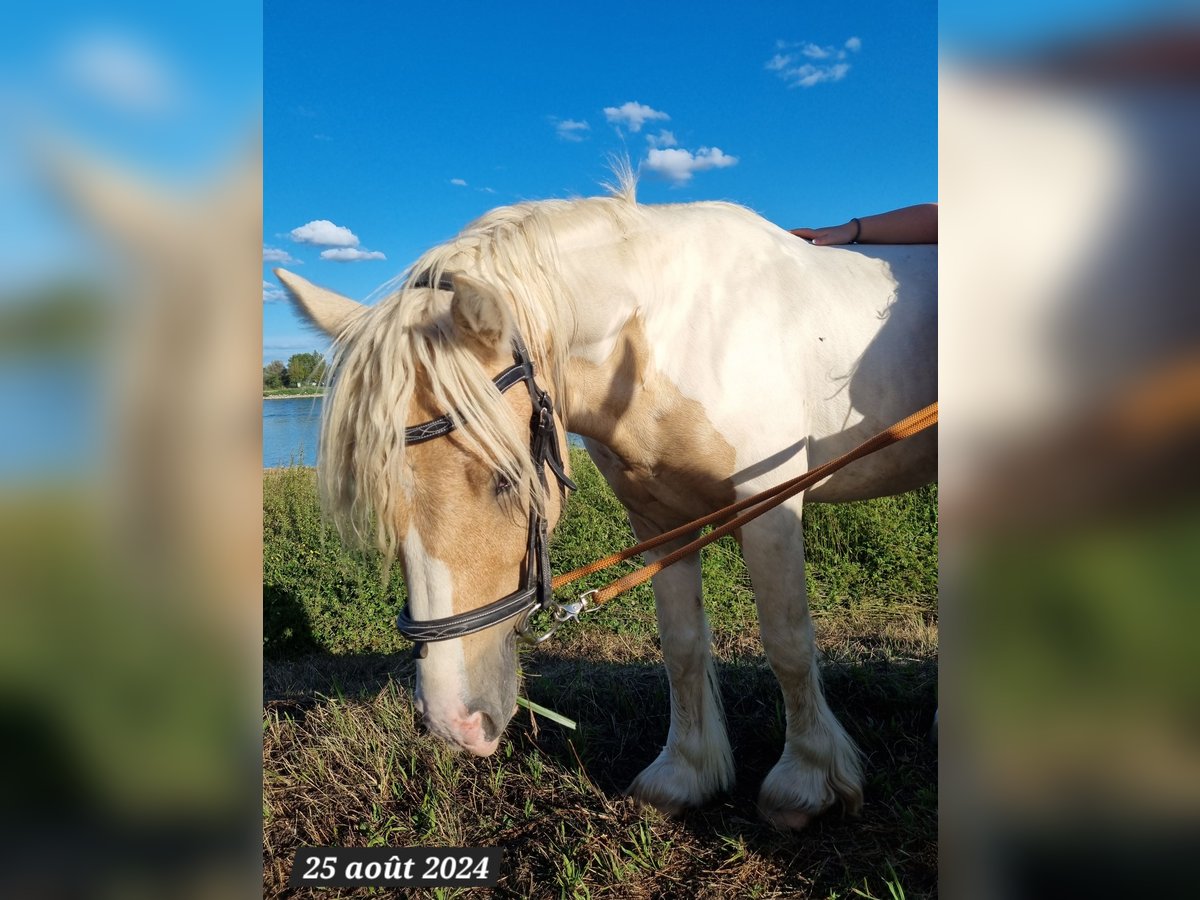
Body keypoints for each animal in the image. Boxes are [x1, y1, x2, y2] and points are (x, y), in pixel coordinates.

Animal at [276, 176, 931, 830]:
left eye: (506, 480)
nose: (452, 722)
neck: (675, 334)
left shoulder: (770, 507)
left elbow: (788, 642)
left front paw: (805, 782)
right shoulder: (659, 520)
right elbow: (682, 646)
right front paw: (685, 774)